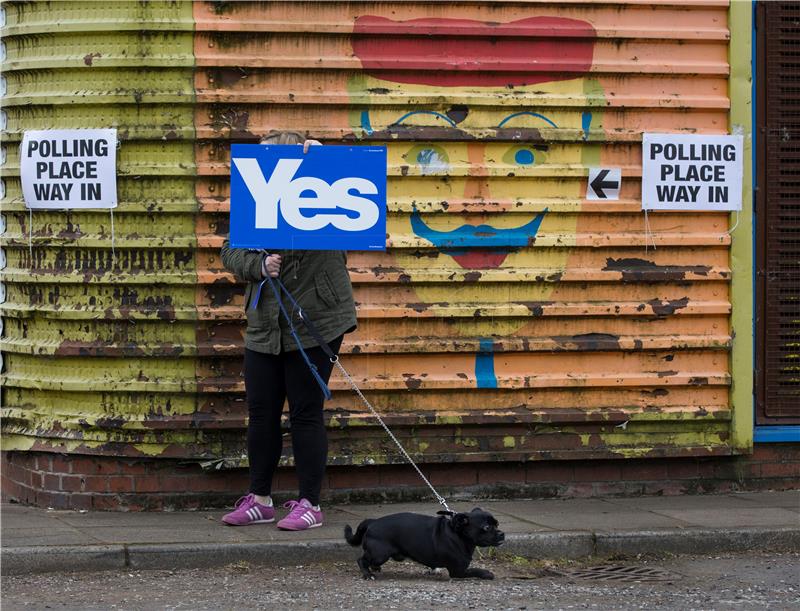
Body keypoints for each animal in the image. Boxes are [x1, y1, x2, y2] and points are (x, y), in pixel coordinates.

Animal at [340, 510, 504, 580]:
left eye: (497, 524)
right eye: (486, 528)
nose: (502, 533)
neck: (458, 533)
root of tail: (372, 522)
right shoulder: (458, 571)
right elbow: (475, 570)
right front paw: (487, 573)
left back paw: (374, 569)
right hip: (380, 554)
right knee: (361, 560)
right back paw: (368, 574)